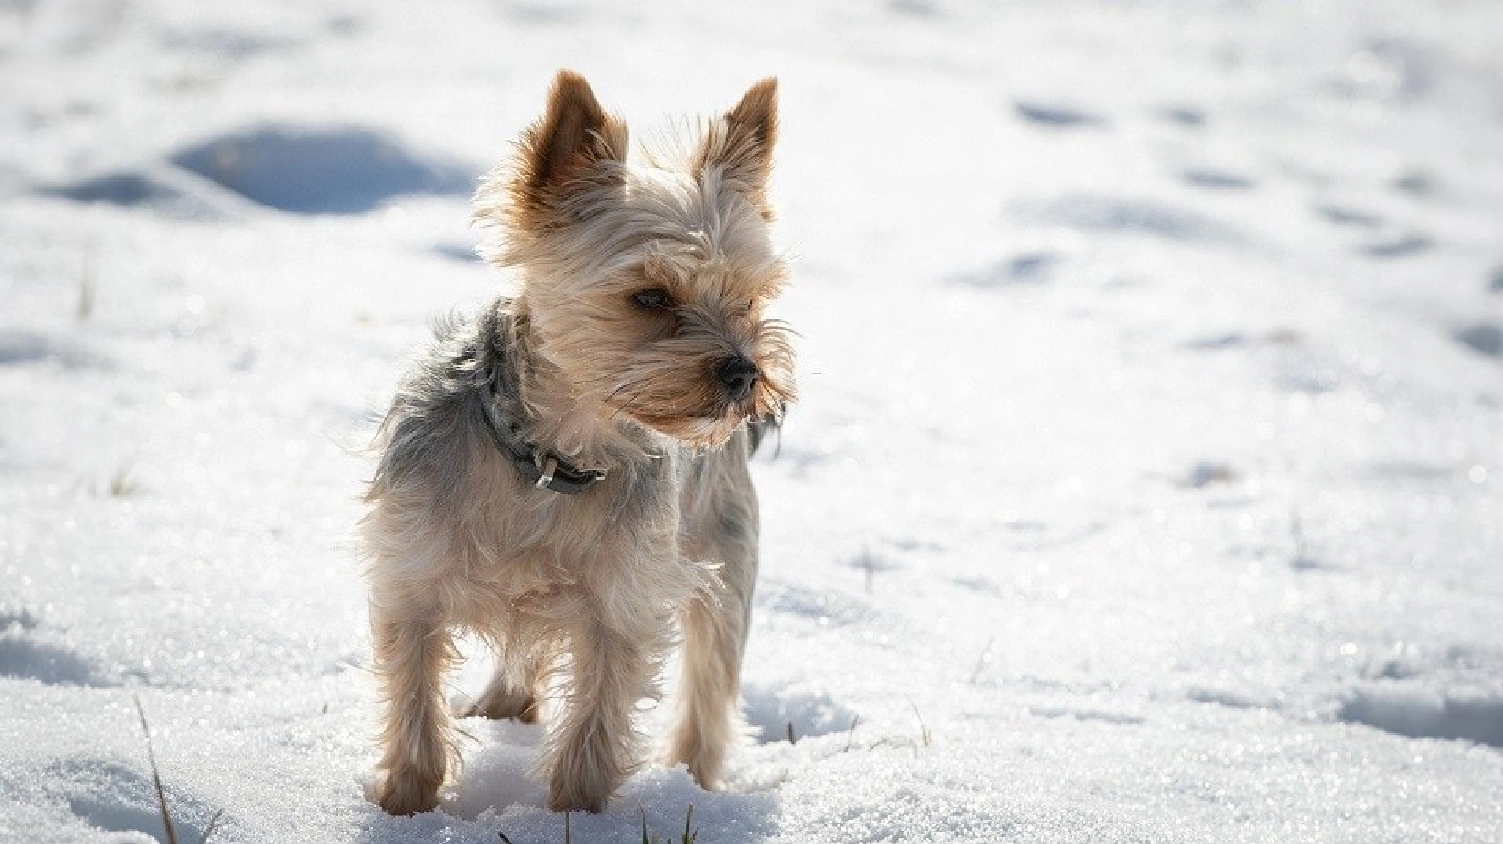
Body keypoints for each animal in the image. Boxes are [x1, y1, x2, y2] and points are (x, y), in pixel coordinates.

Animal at [359, 72, 799, 816]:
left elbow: (595, 723)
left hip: (724, 550)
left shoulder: (622, 603)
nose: (745, 373)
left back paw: (695, 781)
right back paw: (505, 705)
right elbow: (414, 698)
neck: (550, 456)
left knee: (709, 682)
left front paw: (575, 816)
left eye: (747, 298)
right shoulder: (412, 577)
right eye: (650, 297)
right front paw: (405, 806)